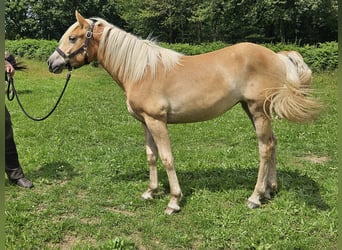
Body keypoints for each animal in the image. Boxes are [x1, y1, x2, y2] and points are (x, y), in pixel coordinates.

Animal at [47, 11, 320, 214]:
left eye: (73, 38)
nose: (52, 63)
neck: (142, 71)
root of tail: (277, 56)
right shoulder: (145, 122)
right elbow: (151, 156)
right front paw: (150, 192)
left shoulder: (157, 121)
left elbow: (167, 158)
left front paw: (174, 201)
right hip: (253, 111)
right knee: (273, 144)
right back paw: (270, 189)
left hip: (258, 110)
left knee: (265, 148)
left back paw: (255, 197)